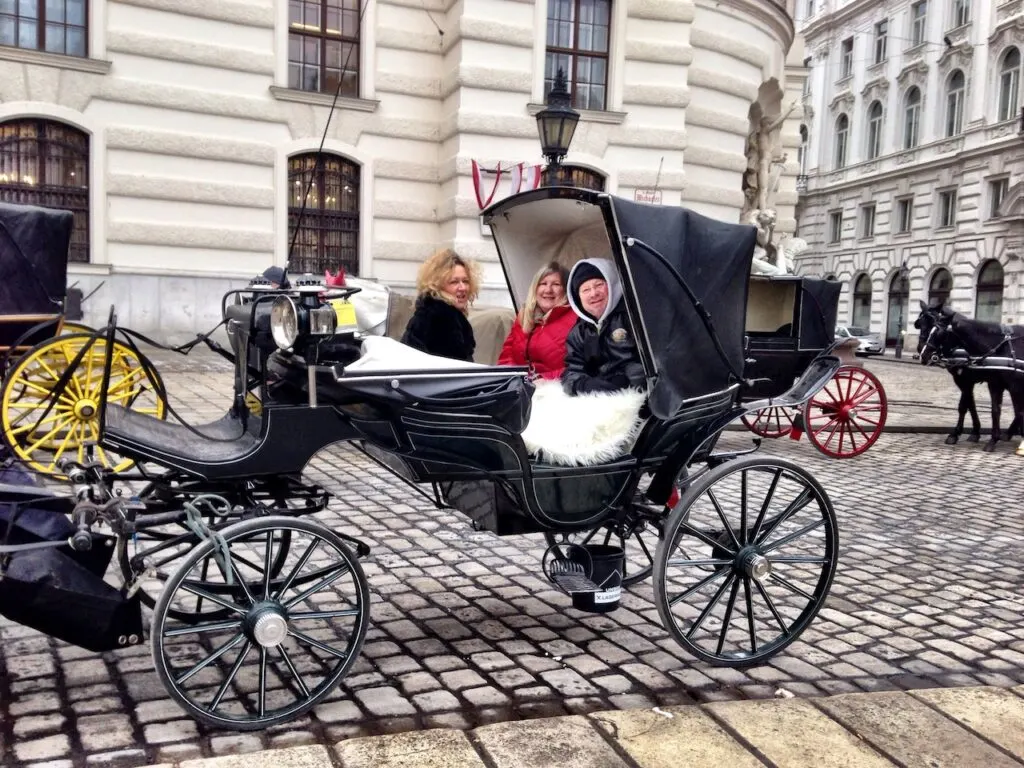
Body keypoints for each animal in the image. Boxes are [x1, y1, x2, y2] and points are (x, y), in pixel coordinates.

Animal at [913, 301, 1024, 450]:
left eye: (940, 333)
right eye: (919, 324)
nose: (922, 353)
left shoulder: (972, 381)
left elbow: (967, 405)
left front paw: (958, 433)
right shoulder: (975, 381)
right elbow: (974, 406)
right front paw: (975, 433)